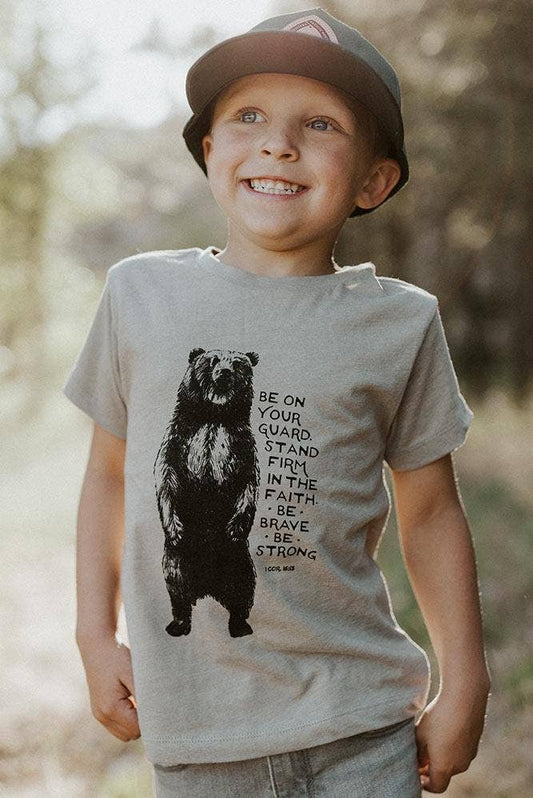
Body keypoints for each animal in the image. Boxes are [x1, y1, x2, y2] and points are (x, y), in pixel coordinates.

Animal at [153, 347, 260, 638]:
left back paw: (240, 625)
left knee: (242, 588)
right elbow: (167, 480)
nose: (224, 372)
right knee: (177, 587)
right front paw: (175, 528)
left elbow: (247, 483)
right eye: (212, 361)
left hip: (237, 561)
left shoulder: (240, 445)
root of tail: (208, 589)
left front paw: (235, 527)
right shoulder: (181, 439)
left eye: (237, 363)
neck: (214, 415)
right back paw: (178, 623)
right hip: (178, 561)